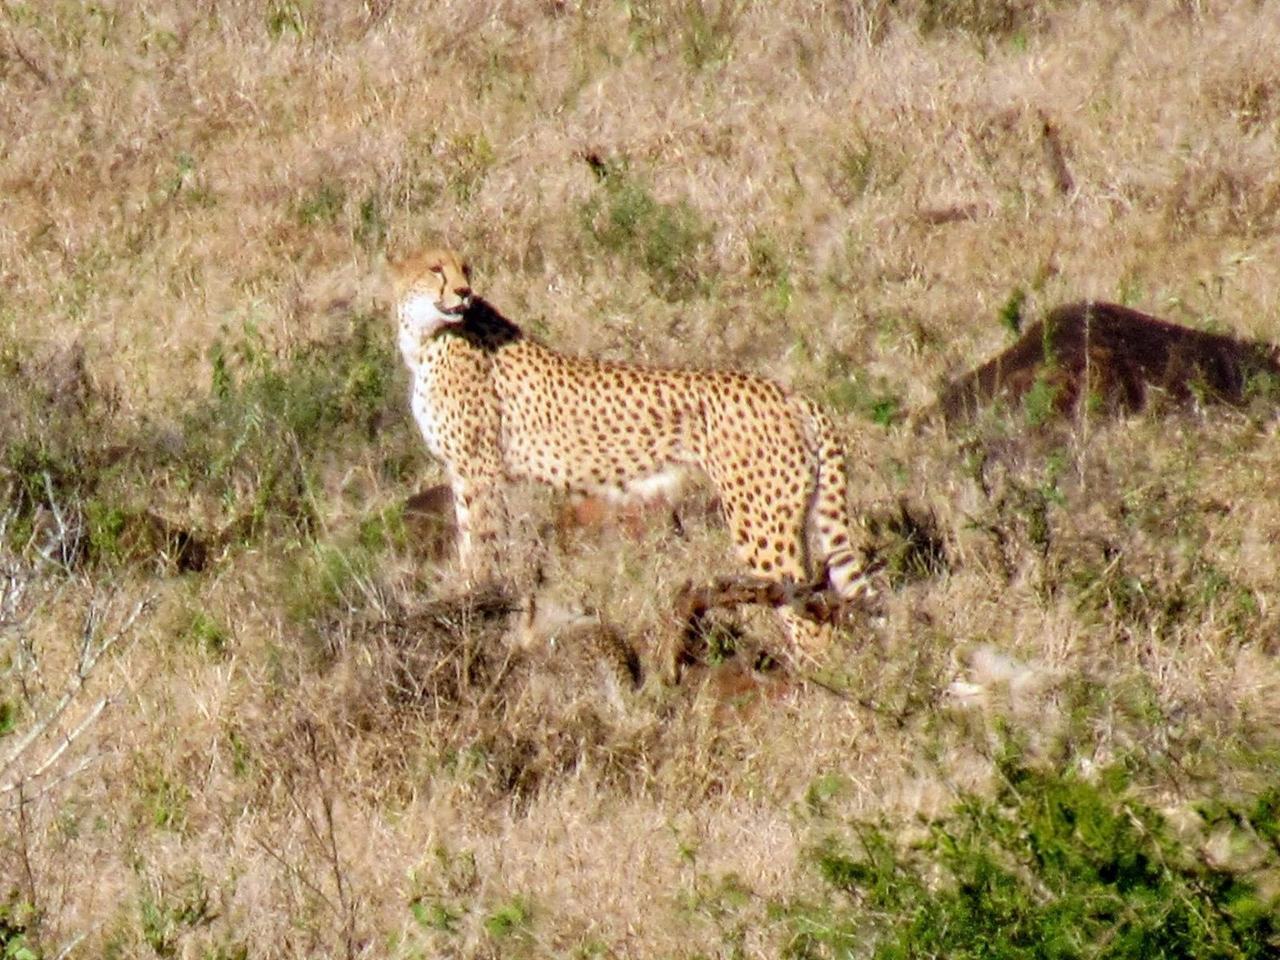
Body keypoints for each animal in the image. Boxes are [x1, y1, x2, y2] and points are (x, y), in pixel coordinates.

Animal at [388, 246, 869, 652]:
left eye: (464, 269)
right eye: (436, 268)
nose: (464, 292)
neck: (425, 337)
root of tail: (787, 391)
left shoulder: (479, 469)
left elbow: (481, 542)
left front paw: (474, 599)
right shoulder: (464, 471)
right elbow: (470, 535)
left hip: (760, 520)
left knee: (808, 618)